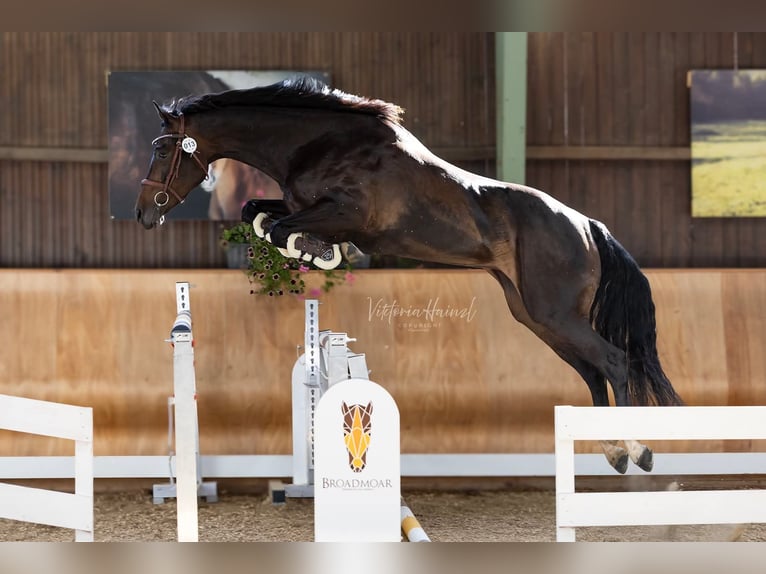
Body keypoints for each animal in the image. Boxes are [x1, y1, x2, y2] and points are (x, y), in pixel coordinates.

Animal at [135, 77, 684, 474]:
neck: (318, 142)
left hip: (554, 313)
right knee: (592, 371)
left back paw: (637, 450)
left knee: (613, 362)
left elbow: (279, 225)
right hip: (536, 316)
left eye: (162, 151)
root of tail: (587, 225)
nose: (143, 214)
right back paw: (614, 451)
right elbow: (259, 212)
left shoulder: (344, 212)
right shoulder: (303, 204)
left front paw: (317, 252)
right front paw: (314, 250)